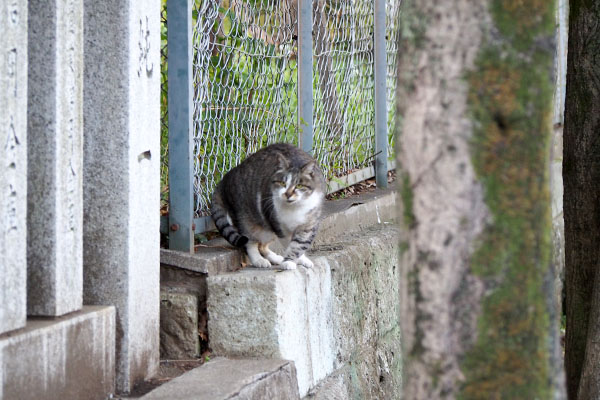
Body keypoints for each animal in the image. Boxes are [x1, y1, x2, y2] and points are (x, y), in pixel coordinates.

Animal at [210, 142, 324, 270]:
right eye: (282, 183)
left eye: (299, 185)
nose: (288, 194)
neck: (294, 208)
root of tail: (224, 179)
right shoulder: (278, 226)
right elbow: (289, 244)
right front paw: (289, 262)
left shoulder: (308, 226)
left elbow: (298, 245)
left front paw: (297, 260)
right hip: (246, 221)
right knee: (249, 243)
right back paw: (259, 260)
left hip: (266, 229)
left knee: (262, 246)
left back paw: (276, 258)